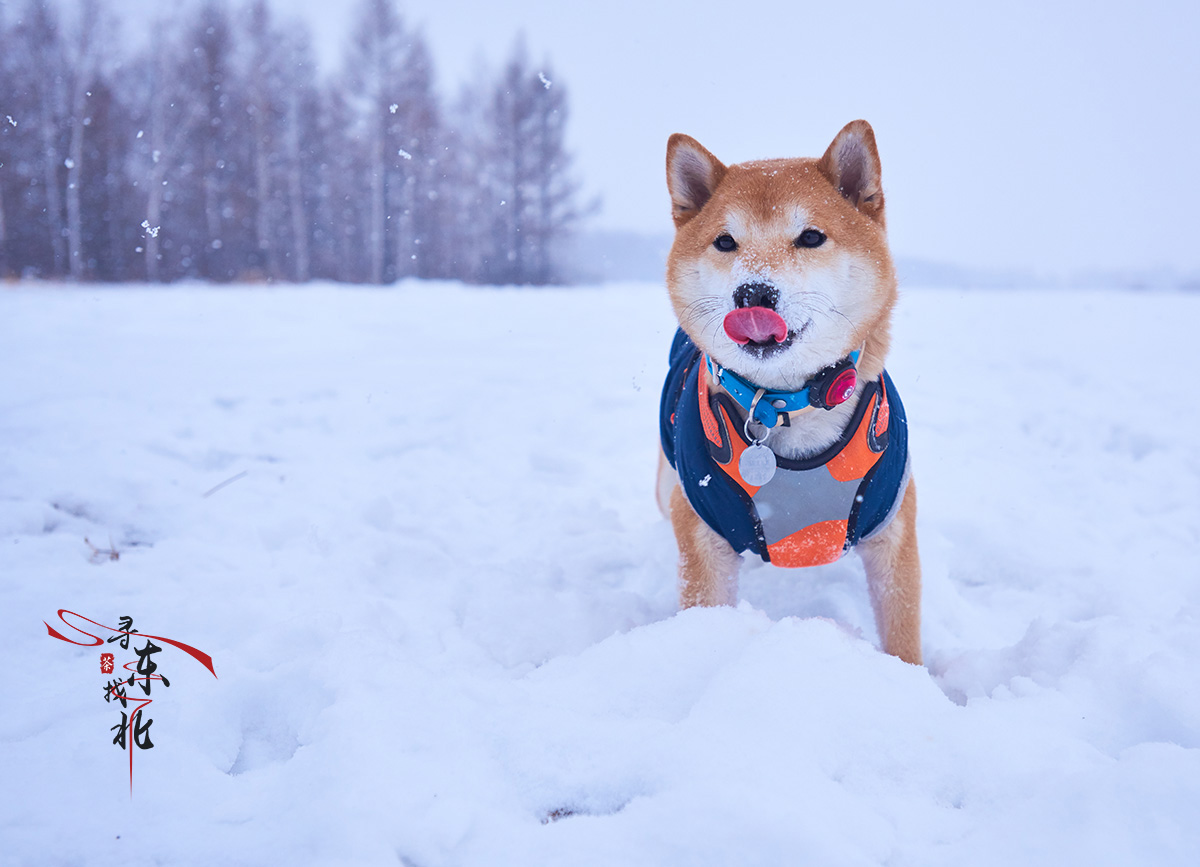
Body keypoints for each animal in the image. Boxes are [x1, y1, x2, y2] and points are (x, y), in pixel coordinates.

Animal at [657, 120, 916, 662]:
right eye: (725, 241)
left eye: (811, 236)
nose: (754, 293)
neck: (786, 404)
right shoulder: (702, 535)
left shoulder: (893, 526)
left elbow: (903, 634)